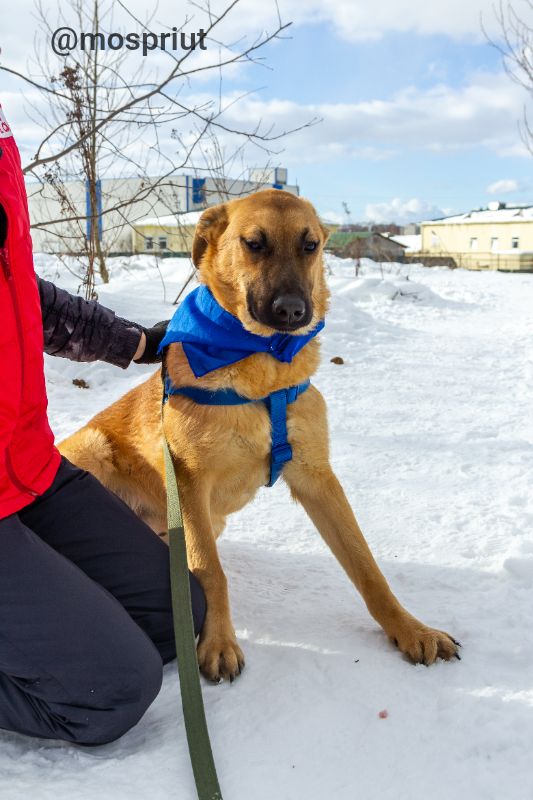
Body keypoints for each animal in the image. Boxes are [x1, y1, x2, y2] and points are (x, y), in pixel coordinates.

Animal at [58, 189, 458, 680]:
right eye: (254, 243)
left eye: (310, 245)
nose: (293, 311)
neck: (262, 367)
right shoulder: (189, 483)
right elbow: (209, 571)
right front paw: (217, 642)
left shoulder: (317, 478)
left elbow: (366, 565)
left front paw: (410, 629)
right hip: (93, 448)